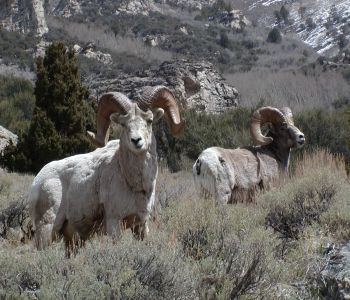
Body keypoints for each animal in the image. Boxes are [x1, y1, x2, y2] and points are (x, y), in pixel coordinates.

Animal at [28, 85, 185, 254]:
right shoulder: (114, 223)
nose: (136, 141)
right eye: (124, 124)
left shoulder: (141, 225)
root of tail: (37, 182)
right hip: (47, 231)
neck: (134, 183)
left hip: (72, 241)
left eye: (149, 121)